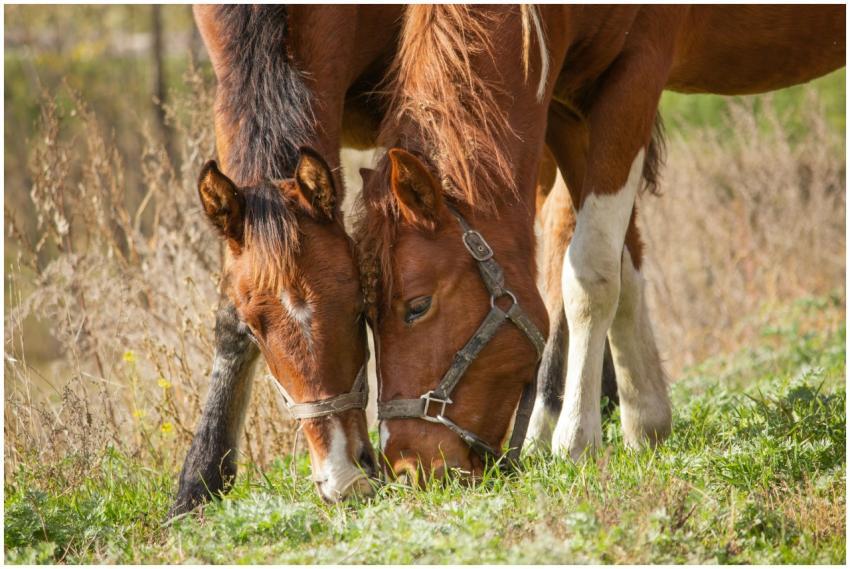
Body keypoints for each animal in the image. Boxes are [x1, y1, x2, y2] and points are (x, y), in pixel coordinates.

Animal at [356, 4, 844, 479]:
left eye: (418, 306)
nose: (407, 466)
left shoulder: (635, 79)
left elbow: (589, 273)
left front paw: (576, 437)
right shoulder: (567, 109)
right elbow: (622, 266)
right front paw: (646, 418)